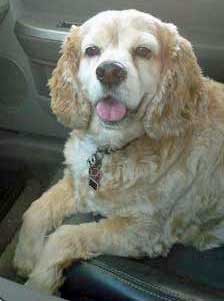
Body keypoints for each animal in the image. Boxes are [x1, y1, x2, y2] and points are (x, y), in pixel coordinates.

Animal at [13, 9, 224, 292]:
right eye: (91, 50)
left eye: (143, 51)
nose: (110, 71)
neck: (110, 148)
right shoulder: (78, 184)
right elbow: (35, 210)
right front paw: (25, 258)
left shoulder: (144, 231)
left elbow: (66, 235)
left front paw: (39, 282)